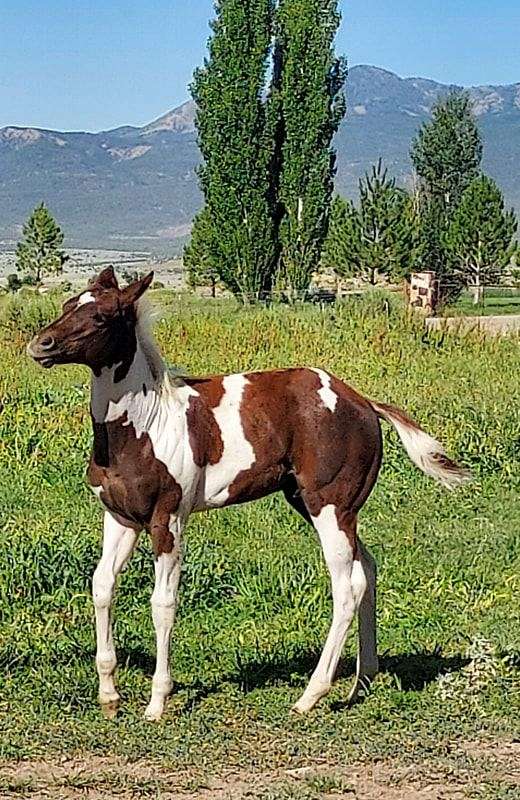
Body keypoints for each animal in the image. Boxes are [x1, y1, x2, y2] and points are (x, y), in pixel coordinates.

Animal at [26, 268, 470, 720]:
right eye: (68, 304)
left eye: (101, 317)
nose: (41, 345)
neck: (144, 427)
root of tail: (364, 402)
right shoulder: (120, 517)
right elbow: (102, 586)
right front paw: (109, 696)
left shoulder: (168, 520)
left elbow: (163, 602)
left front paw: (157, 702)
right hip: (317, 504)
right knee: (367, 570)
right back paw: (361, 680)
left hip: (330, 506)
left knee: (346, 589)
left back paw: (311, 694)